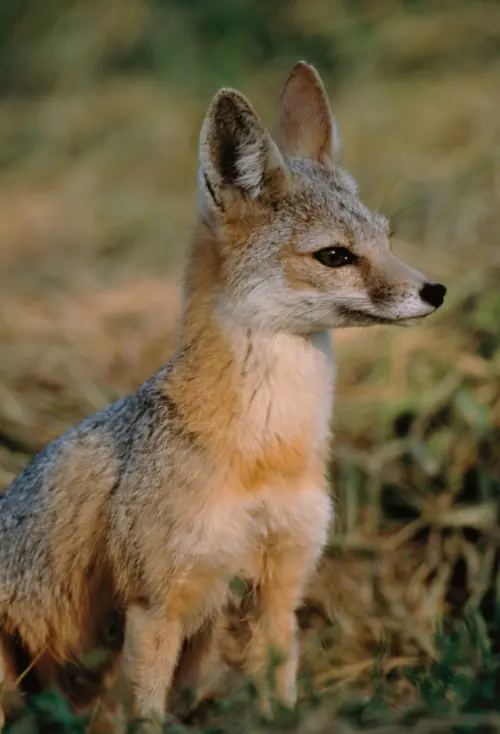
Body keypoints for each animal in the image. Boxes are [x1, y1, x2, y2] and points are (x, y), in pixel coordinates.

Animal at [0, 60, 446, 729]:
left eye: (388, 239)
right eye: (335, 256)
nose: (436, 290)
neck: (266, 450)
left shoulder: (279, 591)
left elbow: (279, 696)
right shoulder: (156, 604)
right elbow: (146, 715)